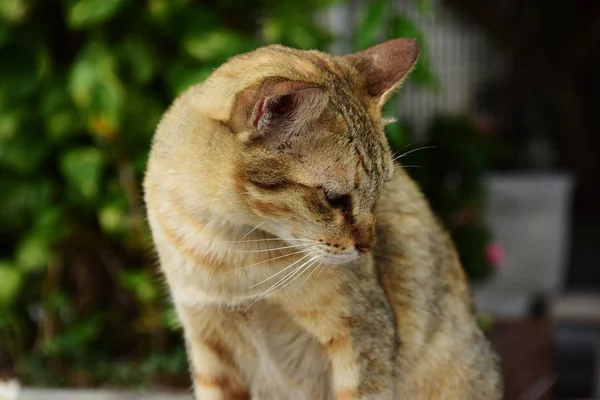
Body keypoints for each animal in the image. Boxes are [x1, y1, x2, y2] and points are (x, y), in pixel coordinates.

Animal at [143, 38, 504, 400]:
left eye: (381, 188)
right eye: (335, 198)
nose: (368, 247)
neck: (229, 246)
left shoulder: (360, 336)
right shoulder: (207, 337)